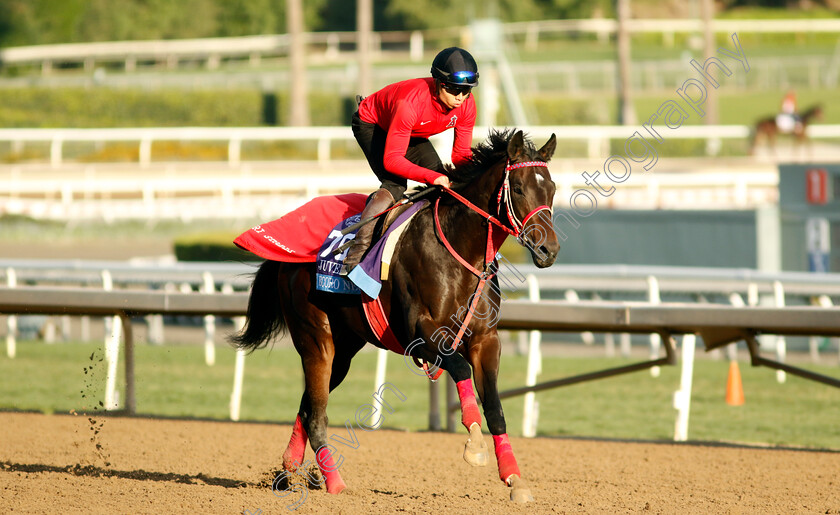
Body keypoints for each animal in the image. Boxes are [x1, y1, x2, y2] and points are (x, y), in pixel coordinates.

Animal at [230, 129, 556, 504]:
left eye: (552, 188)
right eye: (517, 188)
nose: (549, 250)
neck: (460, 251)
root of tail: (286, 257)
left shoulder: (486, 341)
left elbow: (496, 409)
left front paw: (515, 479)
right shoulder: (421, 334)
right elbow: (459, 368)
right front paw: (474, 444)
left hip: (344, 349)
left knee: (308, 406)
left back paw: (288, 472)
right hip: (316, 338)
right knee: (316, 414)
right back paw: (334, 484)